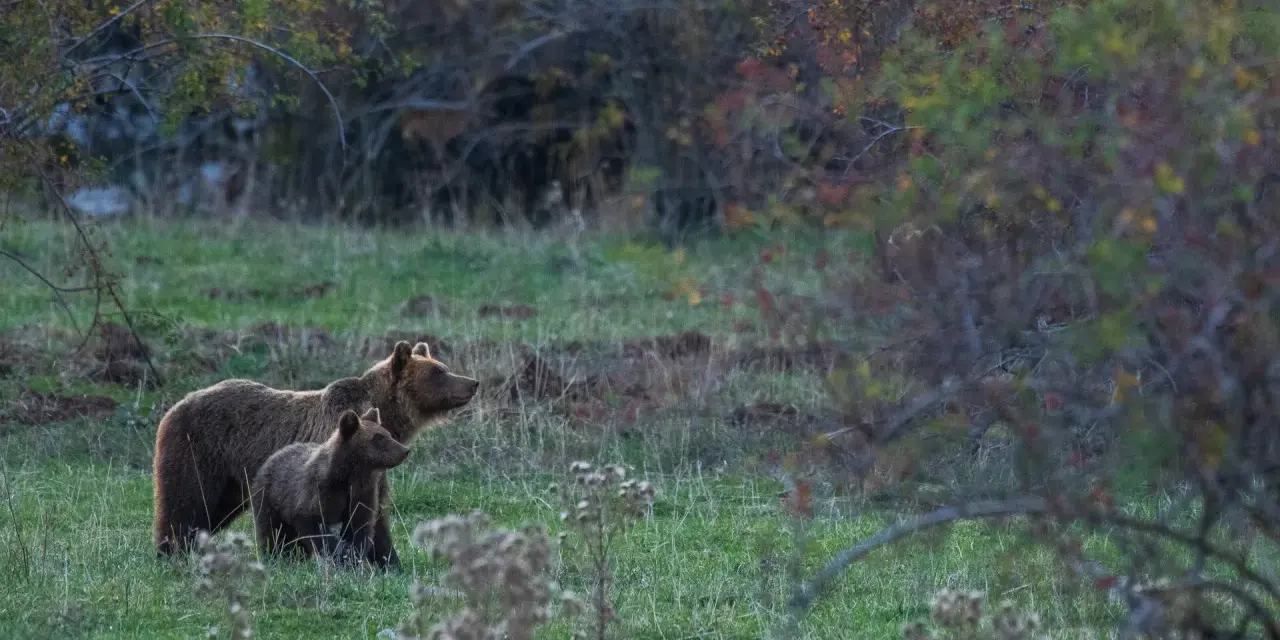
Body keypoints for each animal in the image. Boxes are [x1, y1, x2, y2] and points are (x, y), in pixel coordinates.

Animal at [251, 407, 409, 565]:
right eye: (378, 438)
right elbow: (315, 527)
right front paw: (341, 555)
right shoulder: (319, 491)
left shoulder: (364, 494)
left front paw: (352, 558)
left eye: (388, 434)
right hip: (270, 498)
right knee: (273, 533)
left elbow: (360, 527)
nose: (405, 450)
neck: (350, 475)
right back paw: (277, 557)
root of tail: (275, 455)